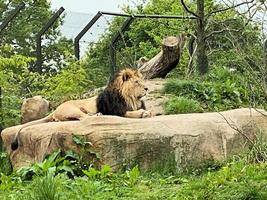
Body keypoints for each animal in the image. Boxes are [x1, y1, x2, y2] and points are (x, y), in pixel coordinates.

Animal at [10, 68, 152, 150]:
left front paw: (147, 111)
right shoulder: (114, 110)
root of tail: (56, 109)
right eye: (136, 82)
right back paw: (97, 115)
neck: (130, 98)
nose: (146, 88)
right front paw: (143, 113)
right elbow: (129, 113)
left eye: (141, 81)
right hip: (74, 109)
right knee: (84, 117)